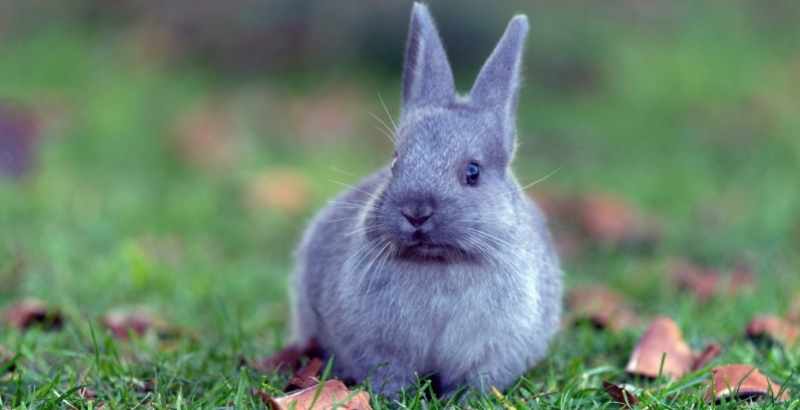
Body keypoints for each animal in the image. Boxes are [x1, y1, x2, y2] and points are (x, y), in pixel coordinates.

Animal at [289, 2, 563, 397]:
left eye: (473, 172)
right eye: (395, 162)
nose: (416, 212)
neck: (439, 261)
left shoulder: (493, 350)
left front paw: (465, 400)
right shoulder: (380, 349)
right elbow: (390, 373)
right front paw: (393, 397)